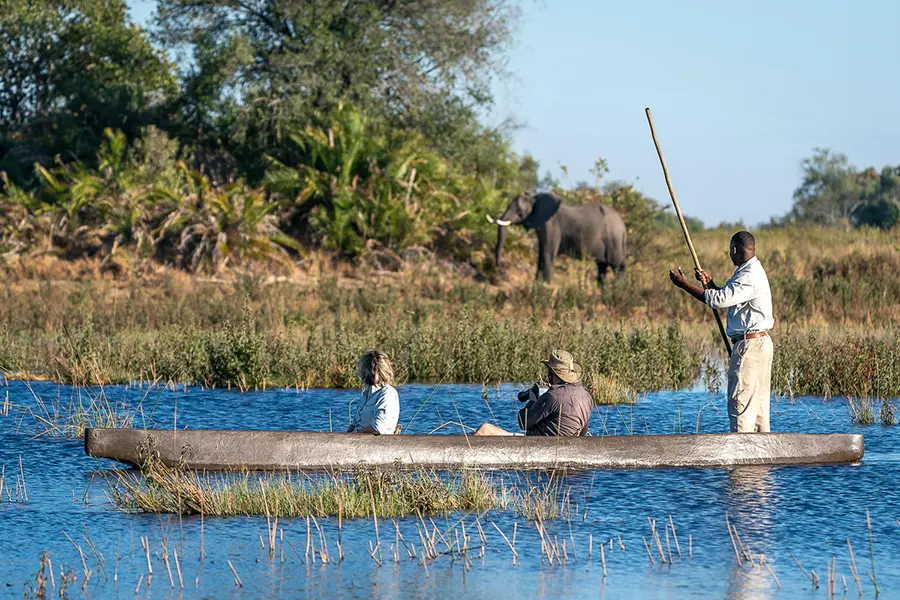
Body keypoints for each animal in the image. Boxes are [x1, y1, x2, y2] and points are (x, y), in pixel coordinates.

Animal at [488, 192, 627, 284]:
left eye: (519, 212)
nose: (499, 267)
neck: (535, 199)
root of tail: (623, 226)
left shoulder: (551, 225)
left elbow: (548, 254)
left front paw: (546, 286)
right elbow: (541, 255)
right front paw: (537, 285)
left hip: (614, 239)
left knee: (617, 265)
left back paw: (618, 289)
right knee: (602, 266)